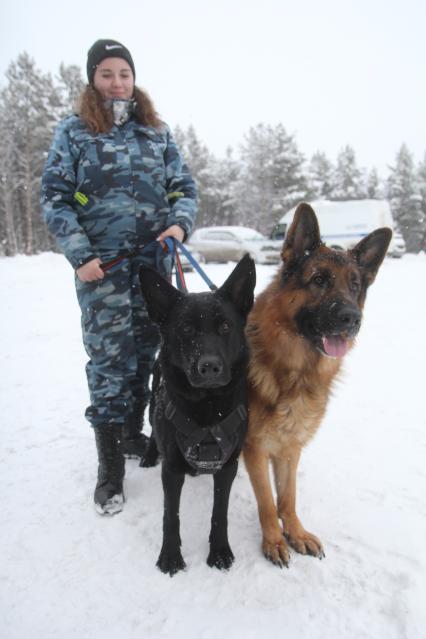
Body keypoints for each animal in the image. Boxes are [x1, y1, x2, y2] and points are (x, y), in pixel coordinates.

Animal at [138, 255, 255, 576]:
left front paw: (220, 552)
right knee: (152, 429)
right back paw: (148, 456)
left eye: (225, 326)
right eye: (187, 329)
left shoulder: (227, 467)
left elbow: (219, 513)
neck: (207, 405)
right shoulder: (172, 470)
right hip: (154, 400)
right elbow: (170, 516)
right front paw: (170, 556)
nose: (210, 367)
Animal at [243, 202, 392, 568]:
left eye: (355, 285)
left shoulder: (290, 448)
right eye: (319, 280)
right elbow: (267, 503)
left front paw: (296, 533)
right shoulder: (256, 448)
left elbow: (287, 498)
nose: (352, 318)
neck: (296, 371)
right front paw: (273, 541)